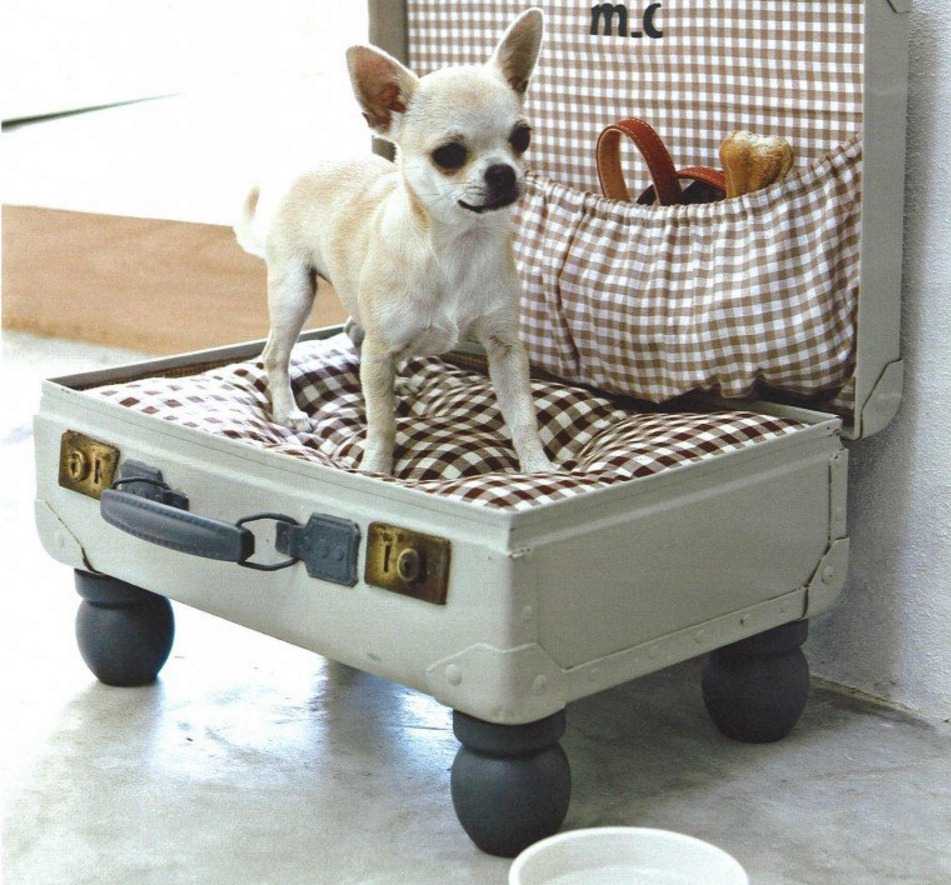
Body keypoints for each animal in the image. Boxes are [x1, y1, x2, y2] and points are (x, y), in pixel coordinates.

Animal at [233, 8, 556, 476]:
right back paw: (287, 412)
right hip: (294, 291)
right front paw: (375, 470)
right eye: (449, 155)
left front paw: (538, 467)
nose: (503, 172)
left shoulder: (505, 348)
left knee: (356, 336)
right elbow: (382, 425)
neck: (456, 244)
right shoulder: (383, 346)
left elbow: (522, 413)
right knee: (276, 354)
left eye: (522, 138)